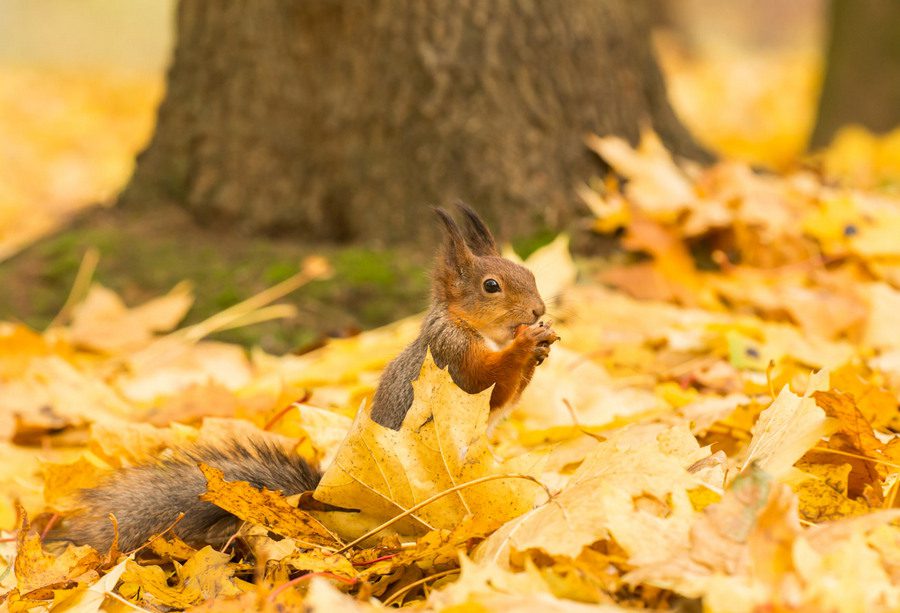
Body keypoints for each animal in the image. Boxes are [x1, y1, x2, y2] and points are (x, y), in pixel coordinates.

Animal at [61, 204, 556, 548]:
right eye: (491, 286)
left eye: (529, 272)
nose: (538, 310)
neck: (472, 328)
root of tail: (327, 501)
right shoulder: (448, 358)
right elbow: (484, 381)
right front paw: (524, 347)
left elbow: (505, 398)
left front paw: (541, 348)